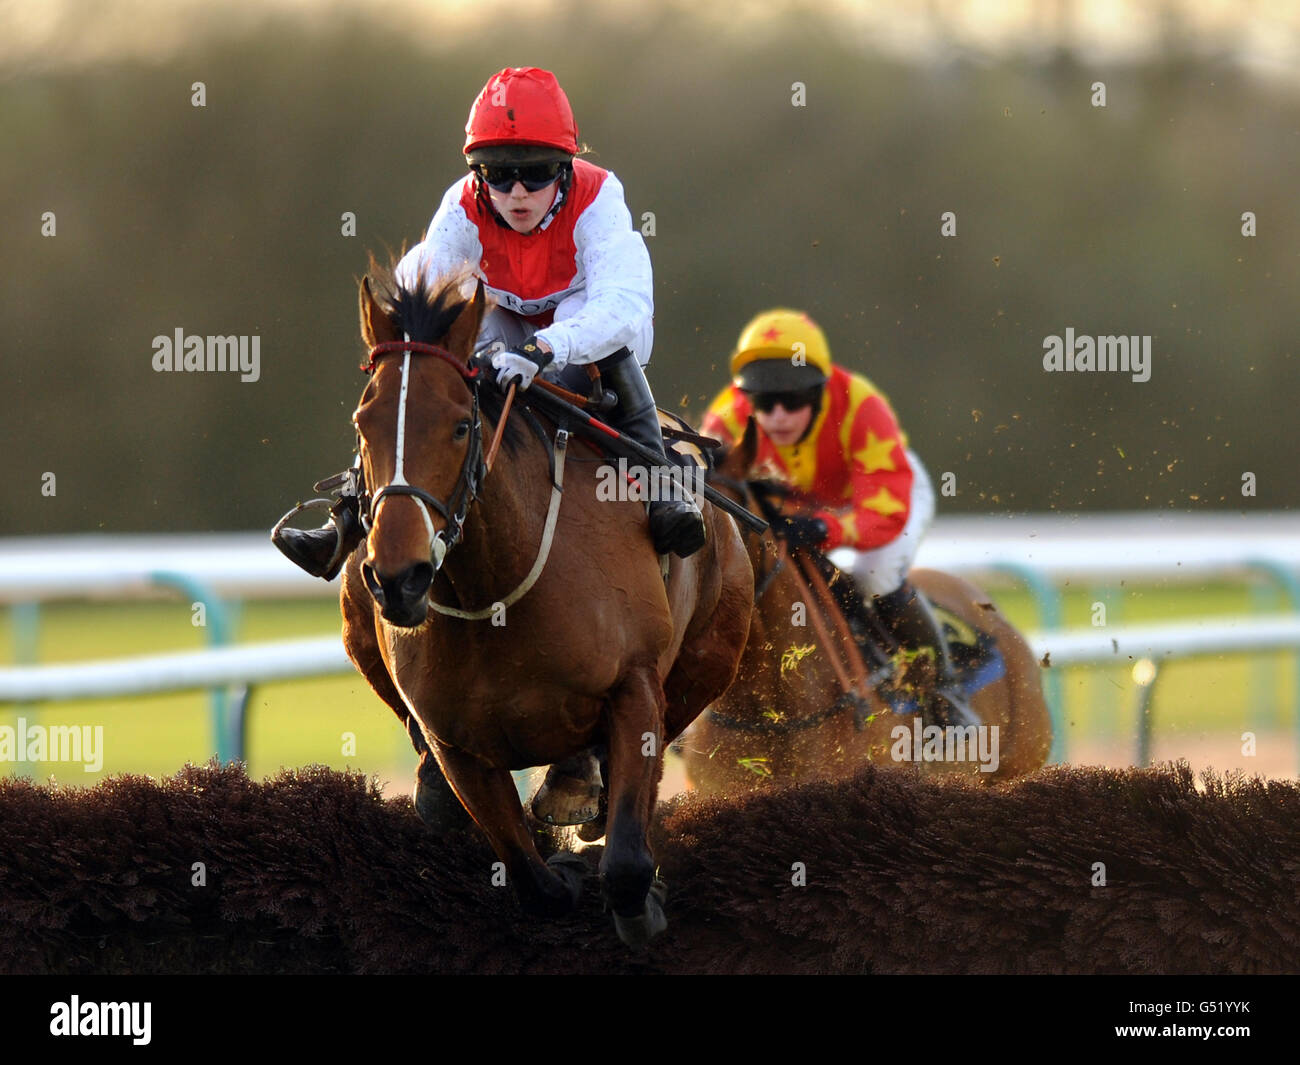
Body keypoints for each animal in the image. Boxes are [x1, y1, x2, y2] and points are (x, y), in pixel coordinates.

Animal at [337, 264, 753, 945]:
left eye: (460, 423)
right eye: (361, 424)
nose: (400, 578)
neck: (497, 594)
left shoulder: (636, 688)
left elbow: (627, 860)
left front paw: (638, 896)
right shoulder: (457, 745)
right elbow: (533, 882)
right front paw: (562, 868)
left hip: (707, 663)